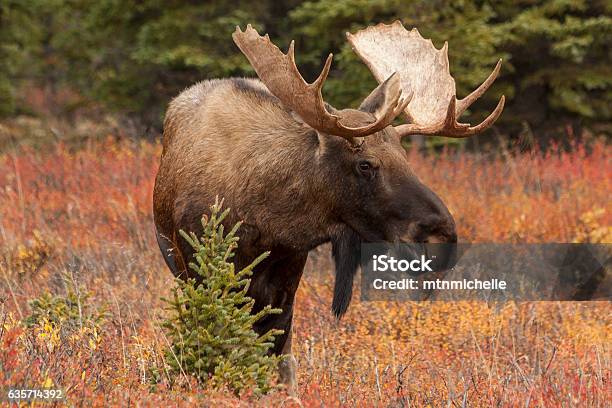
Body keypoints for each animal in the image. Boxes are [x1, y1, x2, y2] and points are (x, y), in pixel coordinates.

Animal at [152, 21, 502, 392]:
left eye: (405, 157)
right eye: (365, 164)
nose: (442, 235)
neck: (266, 220)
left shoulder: (289, 270)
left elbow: (280, 355)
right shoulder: (201, 267)